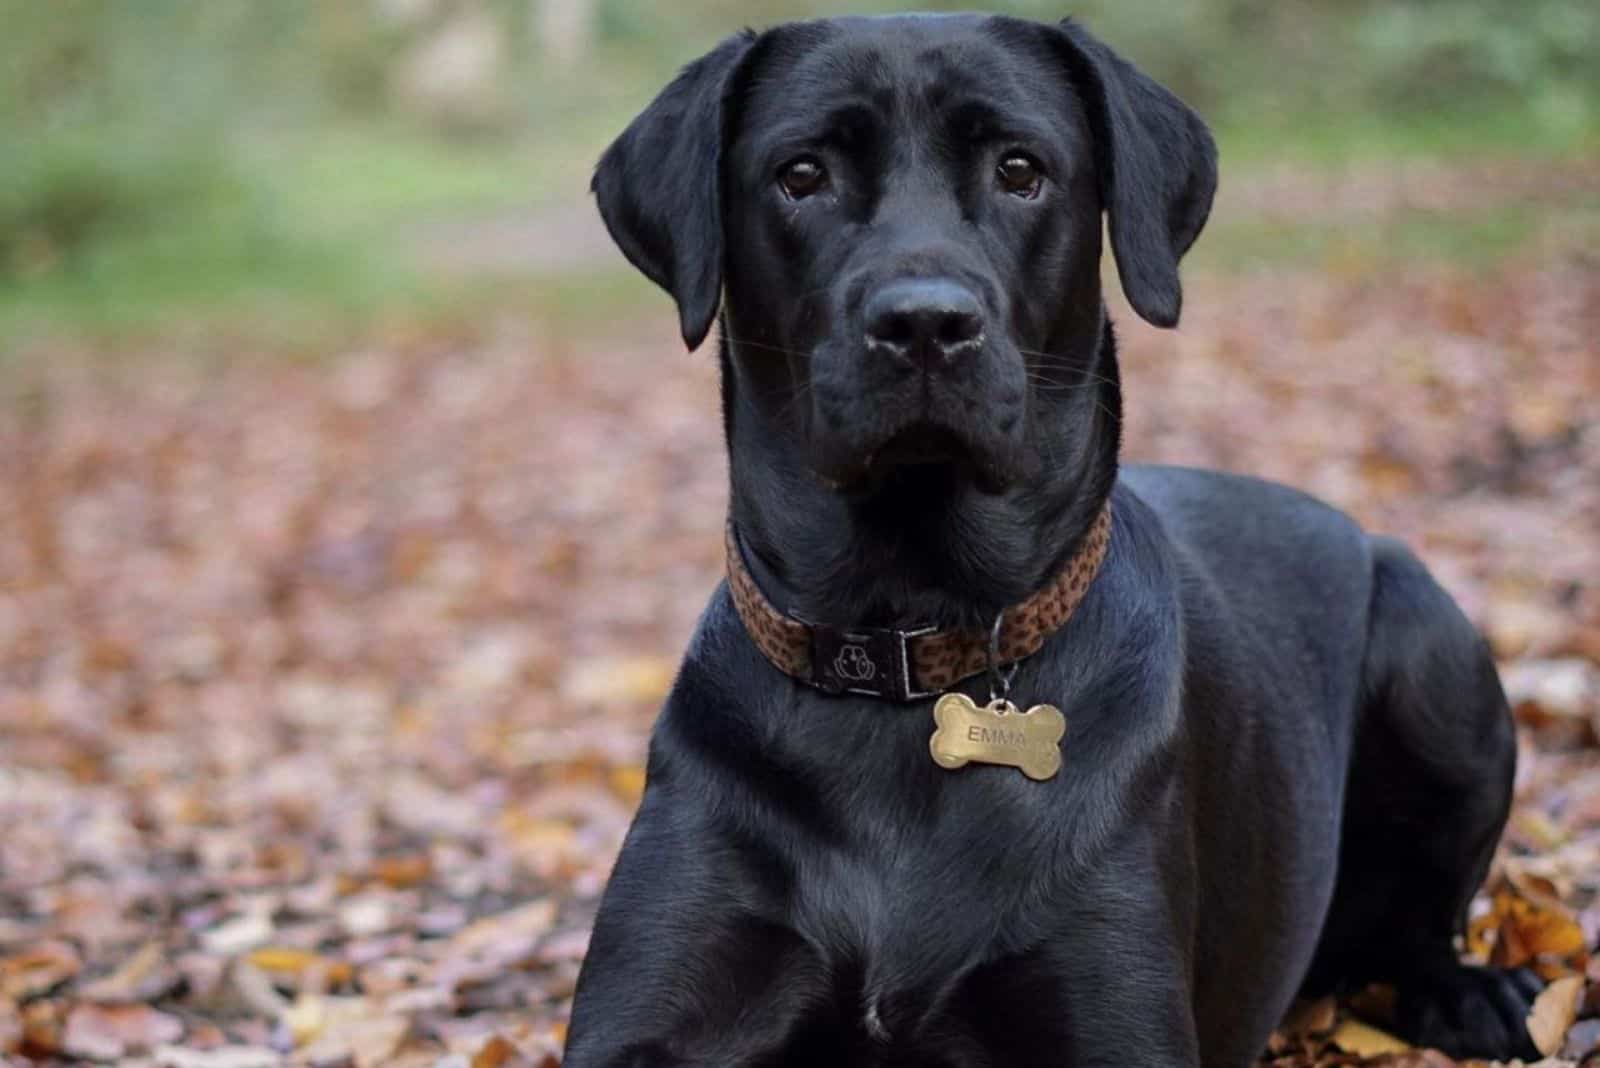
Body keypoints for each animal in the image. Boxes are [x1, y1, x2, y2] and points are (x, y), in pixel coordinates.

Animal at [566, 10, 1536, 1068]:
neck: (902, 641)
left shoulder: (1113, 1012)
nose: (925, 325)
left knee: (1417, 921)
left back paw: (1470, 991)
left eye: (1021, 169)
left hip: (1433, 650)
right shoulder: (652, 1010)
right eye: (801, 174)